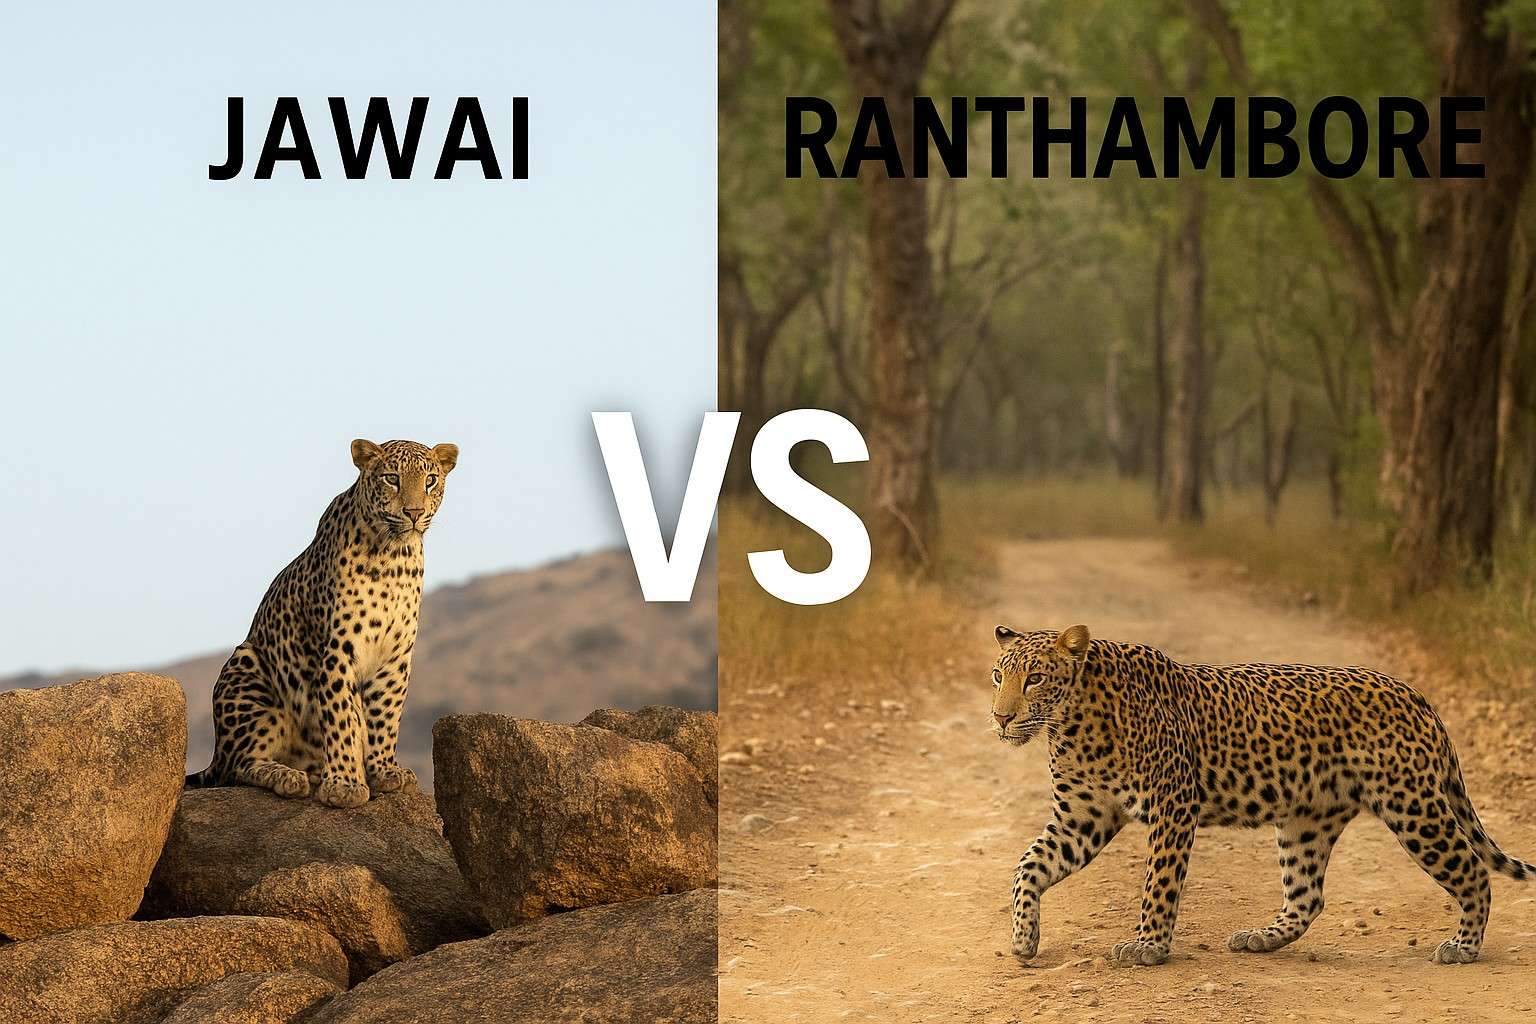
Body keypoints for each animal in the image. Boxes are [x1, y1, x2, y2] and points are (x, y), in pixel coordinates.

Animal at [186, 438, 458, 808]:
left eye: (430, 480)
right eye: (391, 478)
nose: (414, 513)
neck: (393, 556)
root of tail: (215, 754)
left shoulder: (395, 656)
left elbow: (386, 714)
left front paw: (385, 771)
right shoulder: (338, 650)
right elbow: (342, 716)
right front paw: (345, 784)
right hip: (246, 667)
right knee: (238, 766)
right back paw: (289, 777)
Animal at [990, 623, 1532, 967]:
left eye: (1035, 678)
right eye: (999, 675)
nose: (1000, 716)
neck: (1070, 726)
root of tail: (1416, 695)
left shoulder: (1172, 806)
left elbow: (1158, 883)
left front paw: (1148, 946)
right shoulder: (1083, 816)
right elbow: (1029, 865)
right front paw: (1022, 937)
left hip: (1413, 807)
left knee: (1474, 871)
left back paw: (1463, 947)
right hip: (1307, 820)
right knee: (1307, 895)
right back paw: (1260, 939)